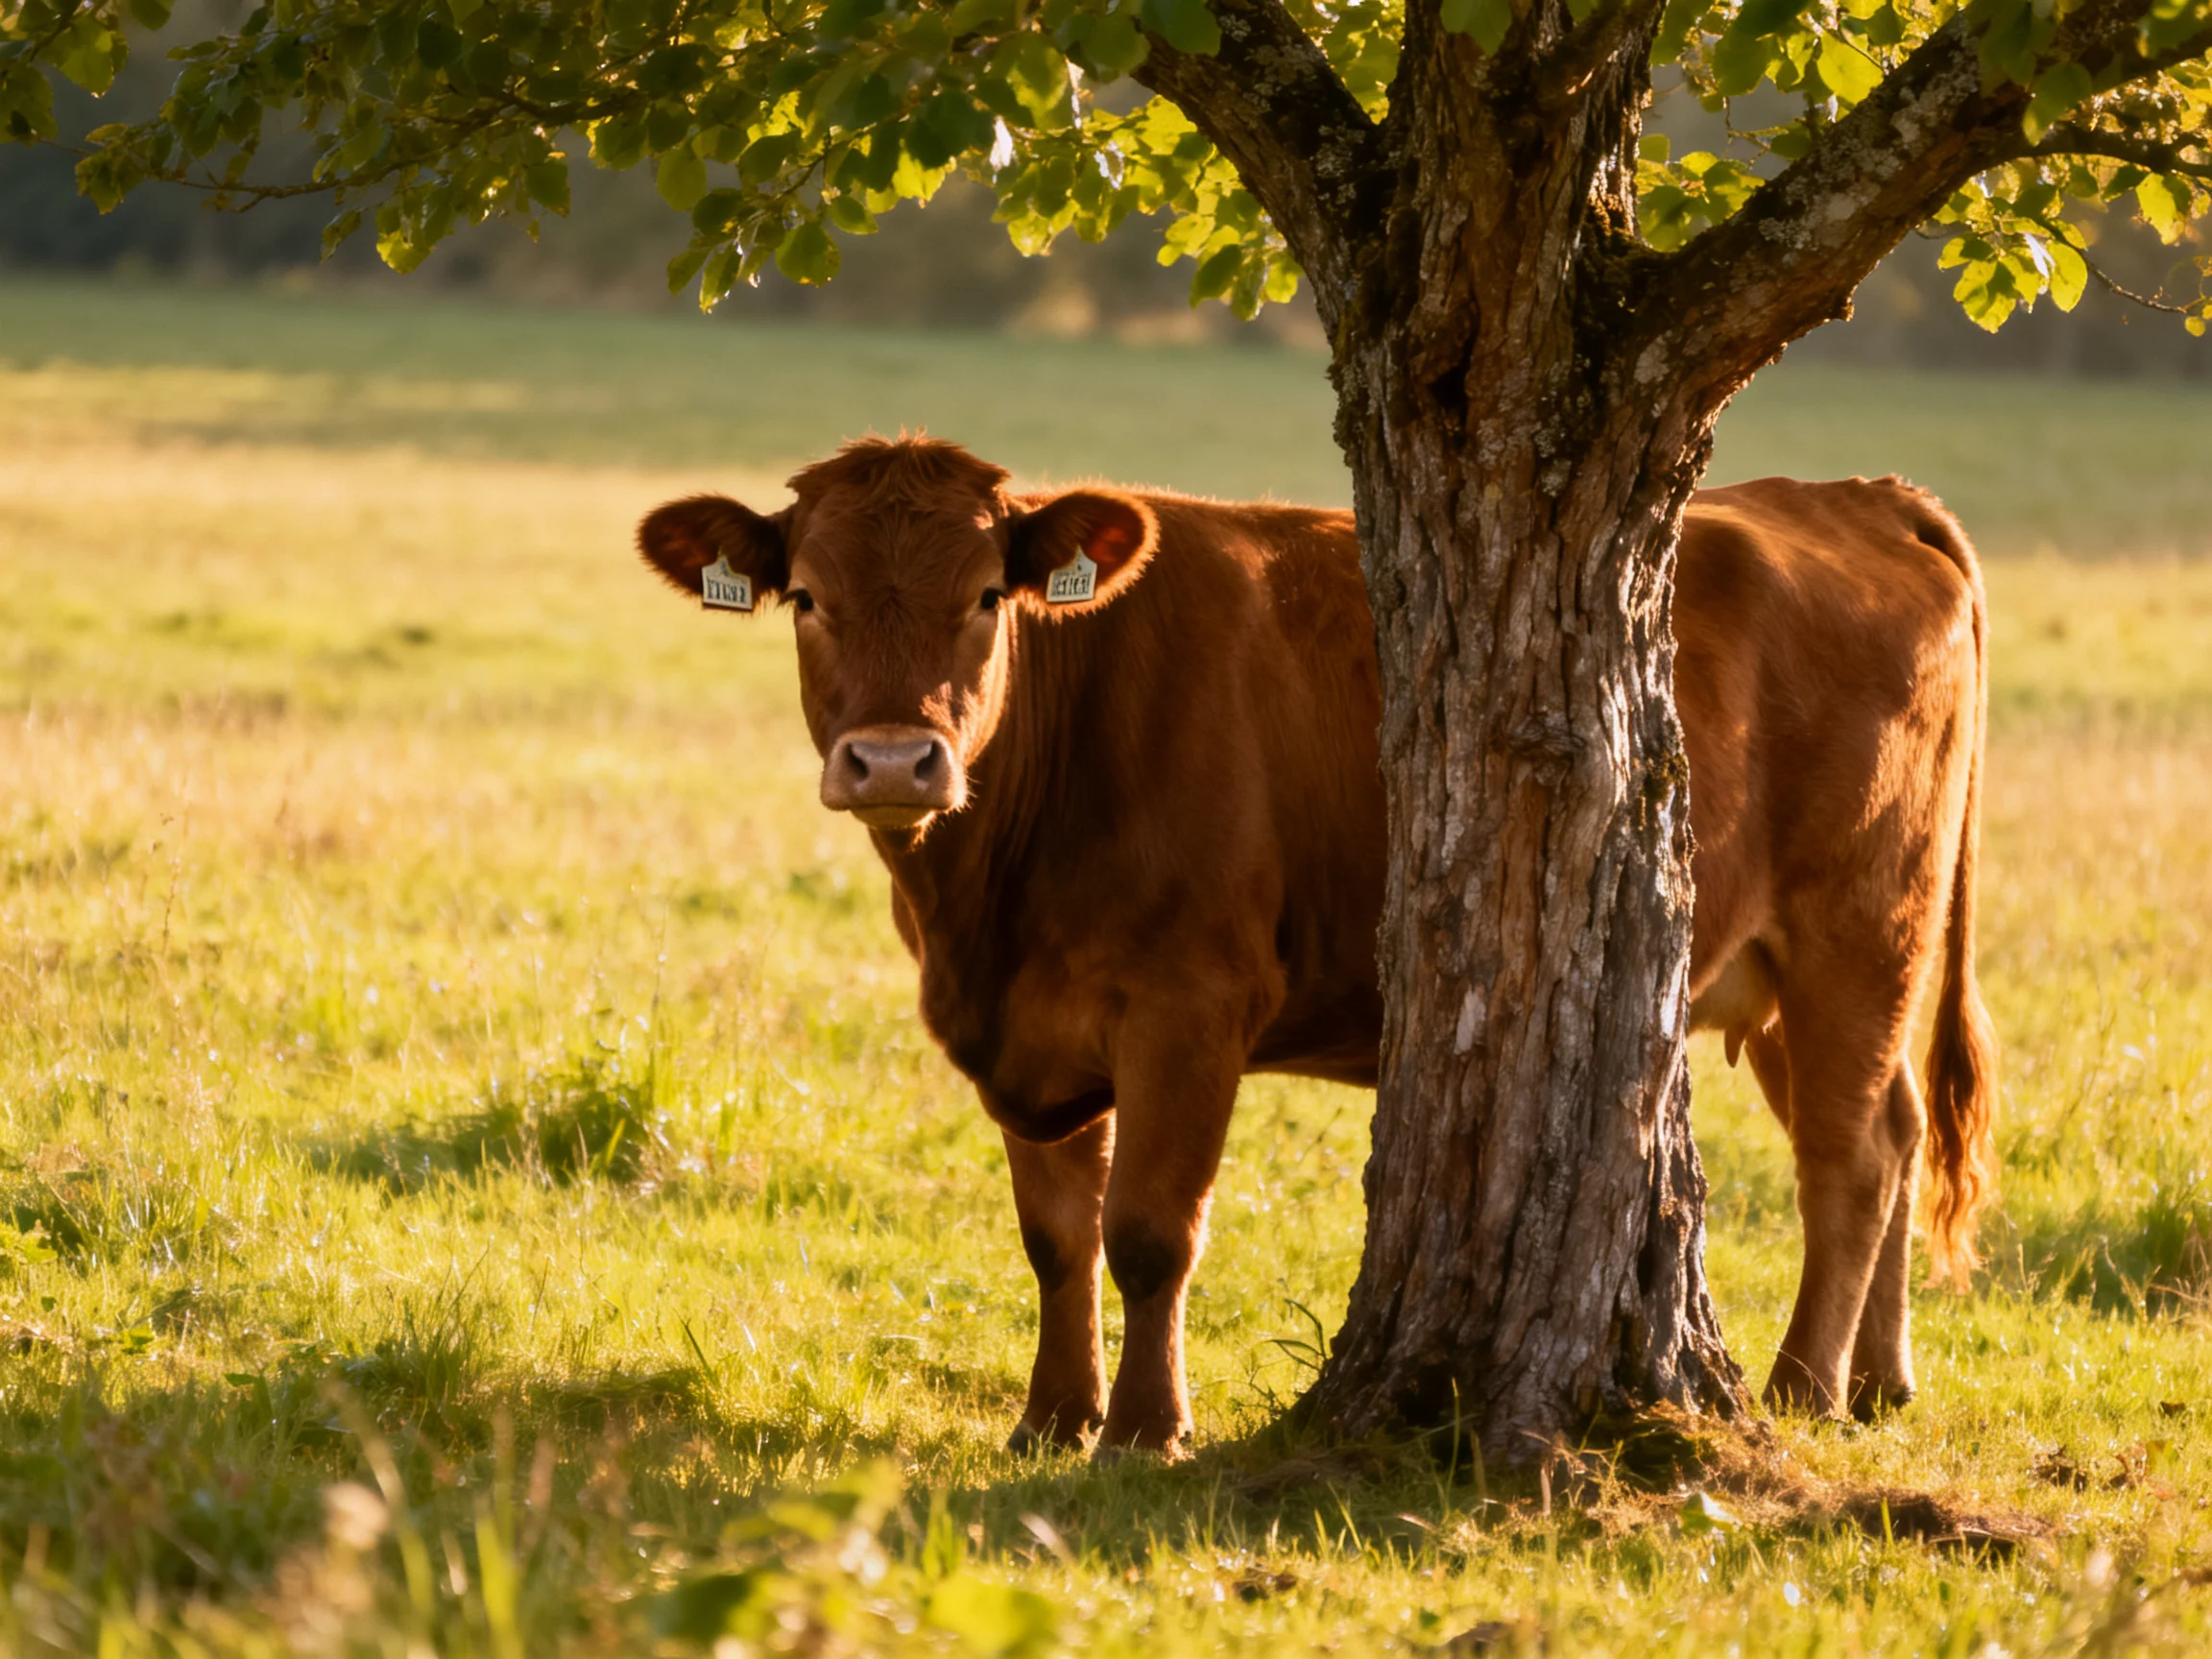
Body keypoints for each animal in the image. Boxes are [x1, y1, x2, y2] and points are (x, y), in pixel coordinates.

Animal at [634, 438, 1998, 1455]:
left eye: (982, 598)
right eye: (808, 600)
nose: (892, 763)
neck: (983, 905)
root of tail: (1850, 495)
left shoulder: (1187, 1005)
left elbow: (1148, 1230)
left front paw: (1145, 1428)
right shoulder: (1032, 1032)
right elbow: (1055, 1236)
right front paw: (1051, 1418)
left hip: (1855, 928)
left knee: (1847, 1157)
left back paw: (1804, 1387)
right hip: (1775, 969)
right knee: (1891, 1128)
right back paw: (1880, 1381)